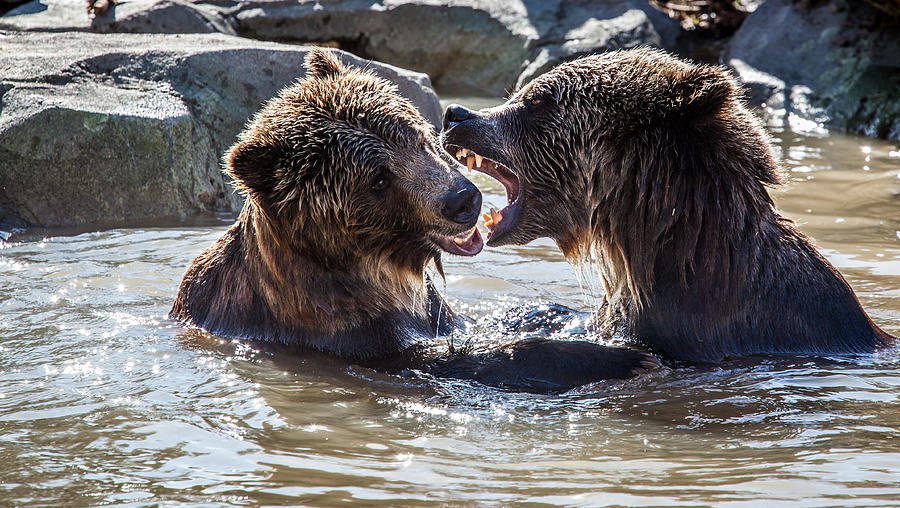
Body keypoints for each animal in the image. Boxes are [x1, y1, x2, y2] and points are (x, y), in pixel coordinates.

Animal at [172, 48, 656, 392]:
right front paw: (615, 357)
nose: (464, 199)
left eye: (408, 133)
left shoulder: (431, 311)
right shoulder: (348, 338)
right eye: (378, 179)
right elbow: (457, 359)